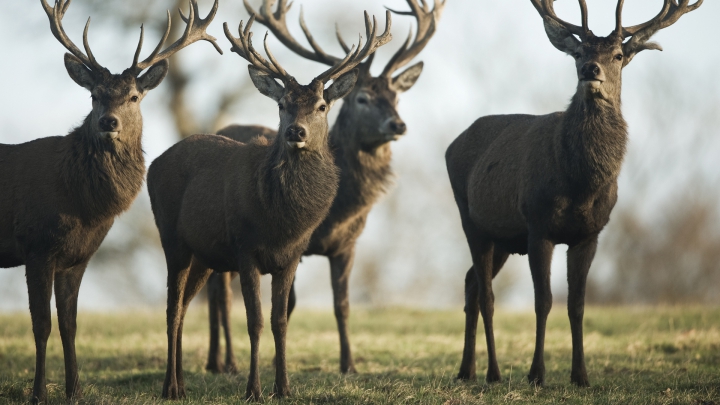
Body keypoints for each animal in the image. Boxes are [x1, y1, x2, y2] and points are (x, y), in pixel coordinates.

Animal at [0, 1, 219, 402]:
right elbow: (41, 325)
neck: (83, 206)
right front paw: (38, 393)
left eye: (134, 96)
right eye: (94, 95)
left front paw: (74, 390)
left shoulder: (77, 257)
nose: (108, 122)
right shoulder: (36, 245)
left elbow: (69, 324)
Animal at [148, 11, 390, 400]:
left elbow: (280, 321)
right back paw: (170, 387)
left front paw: (284, 387)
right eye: (282, 105)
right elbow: (256, 321)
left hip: (204, 256)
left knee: (183, 307)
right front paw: (253, 390)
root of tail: (153, 164)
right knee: (172, 308)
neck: (282, 222)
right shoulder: (244, 249)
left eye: (322, 106)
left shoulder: (291, 256)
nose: (296, 132)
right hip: (172, 238)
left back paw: (183, 383)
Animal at [202, 0, 444, 374]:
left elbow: (341, 305)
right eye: (361, 98)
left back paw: (217, 360)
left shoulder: (348, 244)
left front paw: (349, 365)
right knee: (219, 291)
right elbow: (287, 306)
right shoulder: (291, 246)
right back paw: (224, 361)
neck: (340, 211)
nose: (398, 124)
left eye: (397, 97)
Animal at [444, 0, 704, 386]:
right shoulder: (538, 226)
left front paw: (580, 375)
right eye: (579, 52)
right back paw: (492, 372)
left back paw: (466, 370)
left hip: (503, 237)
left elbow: (577, 304)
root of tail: (452, 145)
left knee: (471, 284)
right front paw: (536, 374)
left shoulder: (589, 234)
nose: (589, 70)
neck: (581, 185)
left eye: (617, 55)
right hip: (471, 220)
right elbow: (543, 301)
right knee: (487, 295)